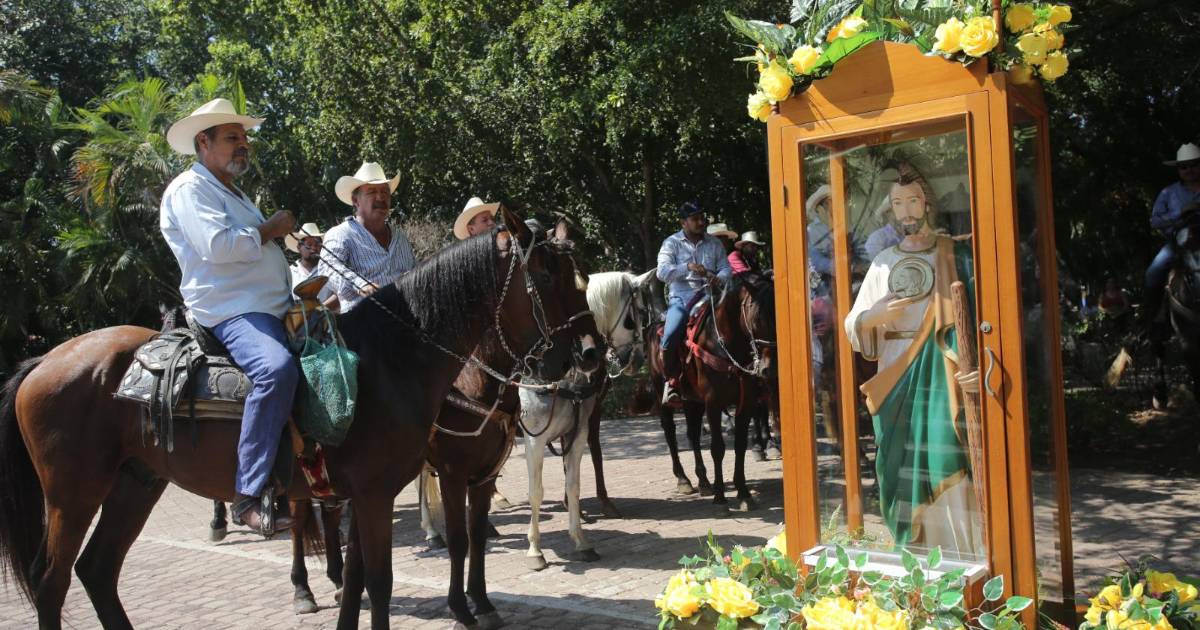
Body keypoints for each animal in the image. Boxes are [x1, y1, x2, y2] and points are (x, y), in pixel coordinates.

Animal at [0, 206, 590, 630]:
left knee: (97, 572)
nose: (586, 356)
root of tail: (41, 361)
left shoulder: (387, 488)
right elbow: (384, 580)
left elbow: (362, 579)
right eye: (545, 275)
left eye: (579, 276)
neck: (391, 361)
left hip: (135, 483)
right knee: (53, 582)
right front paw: (465, 607)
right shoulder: (391, 488)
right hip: (73, 495)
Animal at [647, 274, 777, 510]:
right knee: (670, 434)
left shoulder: (746, 403)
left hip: (693, 402)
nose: (769, 368)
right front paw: (720, 499)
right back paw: (684, 480)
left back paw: (703, 481)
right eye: (757, 319)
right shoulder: (713, 402)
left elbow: (740, 445)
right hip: (663, 396)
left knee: (693, 435)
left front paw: (743, 493)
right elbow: (717, 448)